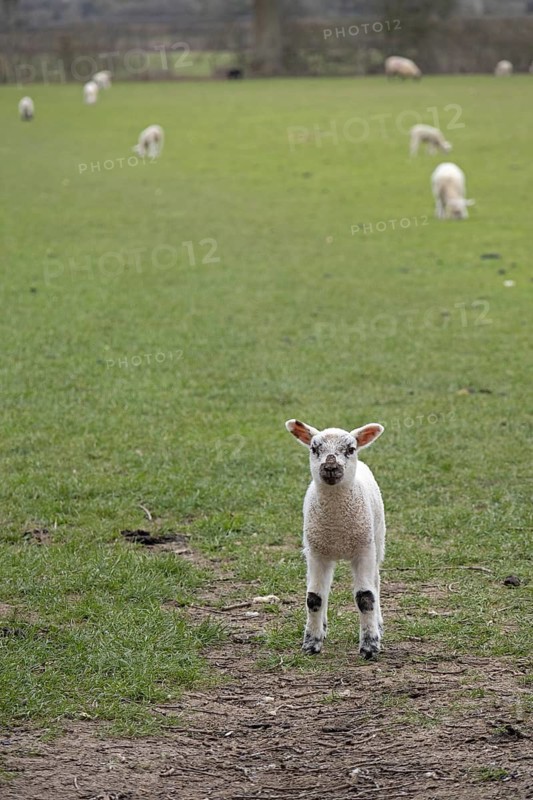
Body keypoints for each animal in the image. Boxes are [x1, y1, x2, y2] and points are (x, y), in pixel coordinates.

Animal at [286, 419, 386, 660]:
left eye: (350, 449)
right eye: (314, 449)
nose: (330, 467)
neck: (336, 526)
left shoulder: (363, 550)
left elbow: (366, 597)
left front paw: (369, 647)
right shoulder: (316, 552)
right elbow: (314, 598)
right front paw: (311, 643)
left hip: (377, 540)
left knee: (376, 582)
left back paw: (378, 624)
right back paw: (322, 626)